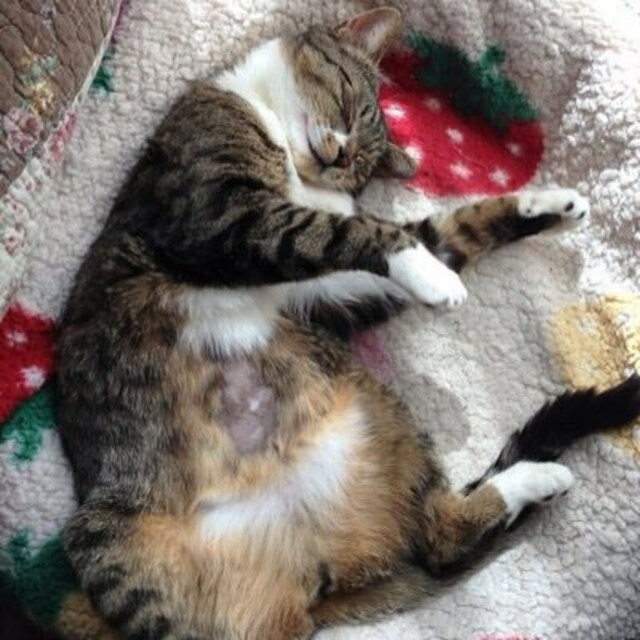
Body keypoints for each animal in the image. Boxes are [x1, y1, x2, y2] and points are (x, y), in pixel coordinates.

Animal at [56, 7, 640, 640]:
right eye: (350, 104)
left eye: (360, 166)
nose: (339, 158)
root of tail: (306, 586)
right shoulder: (217, 213)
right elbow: (358, 230)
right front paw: (438, 281)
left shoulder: (322, 292)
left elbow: (441, 230)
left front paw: (547, 206)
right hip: (106, 547)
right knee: (438, 542)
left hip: (381, 419)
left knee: (441, 533)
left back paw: (537, 480)